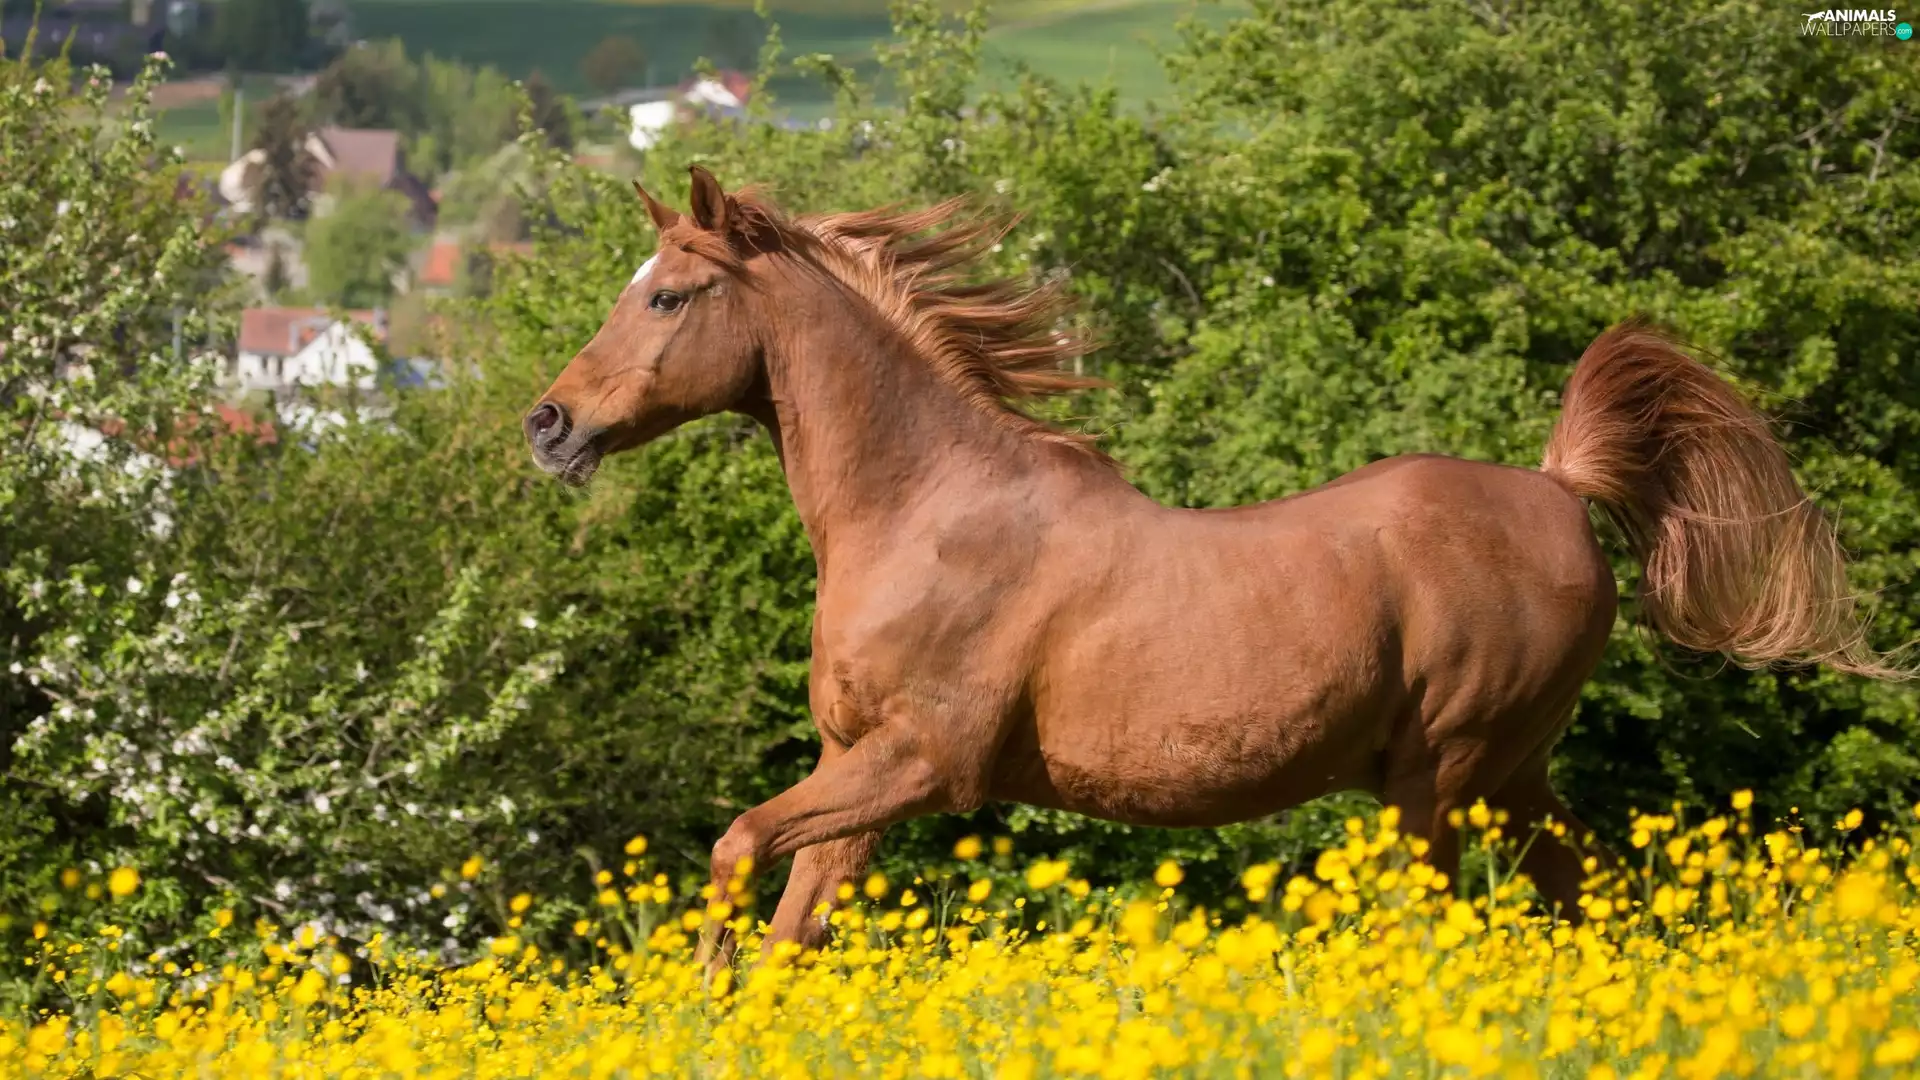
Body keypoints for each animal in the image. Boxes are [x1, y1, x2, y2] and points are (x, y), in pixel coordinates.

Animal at [524, 165, 1912, 977]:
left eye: (668, 296)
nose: (548, 424)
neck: (927, 512)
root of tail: (1562, 489)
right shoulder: (856, 769)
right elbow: (791, 921)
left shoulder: (924, 764)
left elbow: (735, 850)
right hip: (1507, 775)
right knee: (1590, 898)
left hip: (1440, 774)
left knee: (1435, 918)